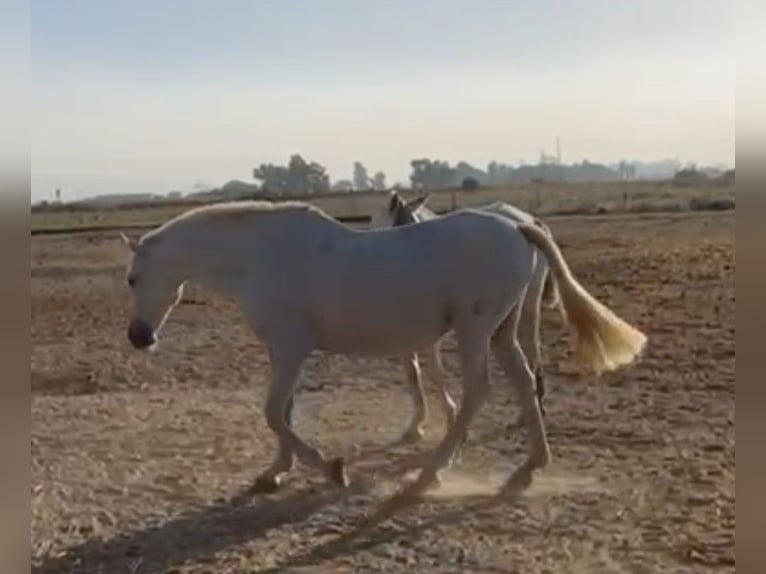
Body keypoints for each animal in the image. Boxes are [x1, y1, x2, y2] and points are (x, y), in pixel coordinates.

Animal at [372, 190, 560, 440]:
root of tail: (527, 220)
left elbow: (434, 371)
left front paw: (449, 418)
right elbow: (413, 372)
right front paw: (417, 424)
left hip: (527, 305)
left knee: (532, 351)